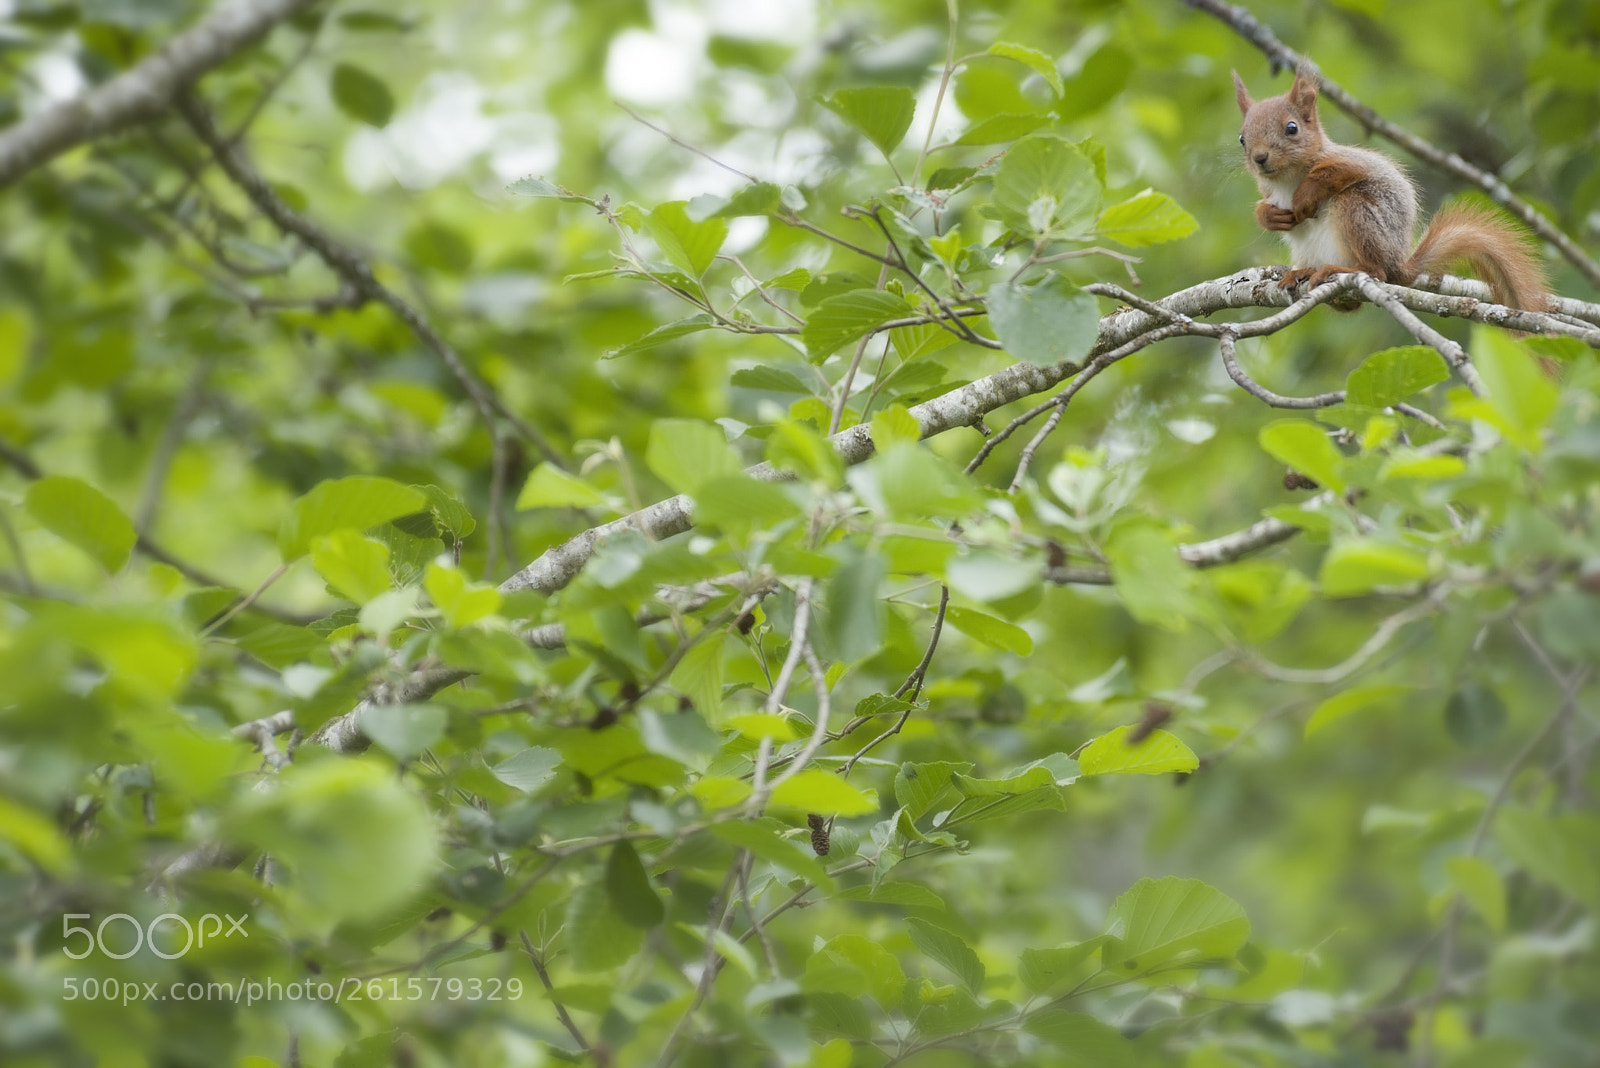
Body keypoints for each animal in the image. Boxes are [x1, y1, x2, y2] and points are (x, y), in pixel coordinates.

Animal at [1232, 64, 1547, 311]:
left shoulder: (1351, 162)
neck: (1285, 180)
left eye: (1292, 128)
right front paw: (1269, 216)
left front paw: (1302, 198)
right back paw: (1302, 272)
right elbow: (1263, 206)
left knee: (1377, 271)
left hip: (1359, 214)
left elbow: (1336, 174)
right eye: (1241, 138)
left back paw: (1340, 269)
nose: (1260, 158)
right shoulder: (1268, 191)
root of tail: (1400, 266)